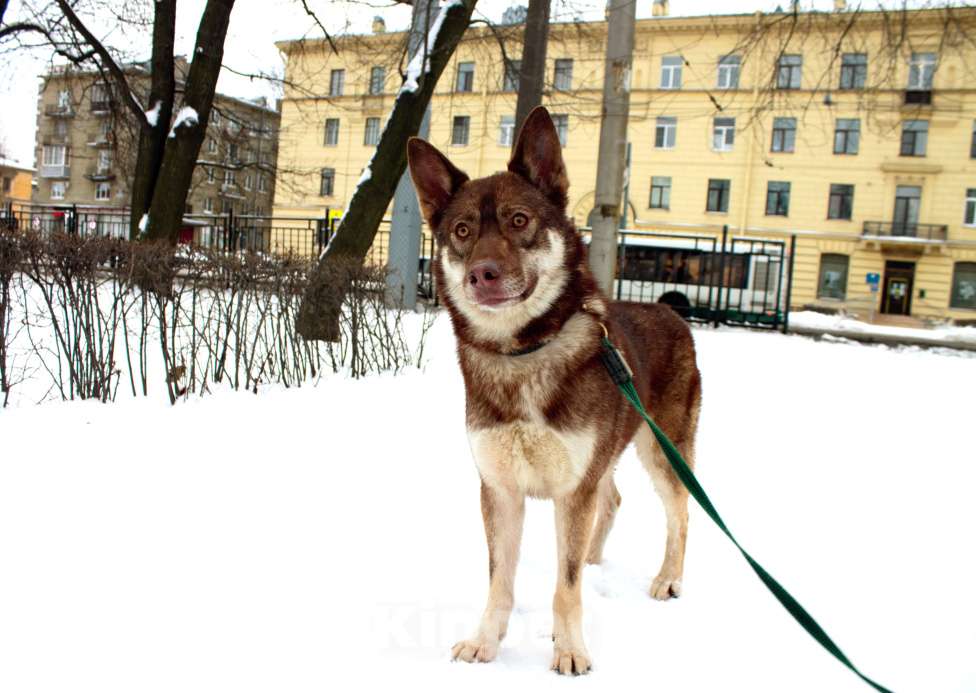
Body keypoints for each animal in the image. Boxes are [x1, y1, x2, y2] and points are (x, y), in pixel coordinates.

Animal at [404, 108, 700, 676]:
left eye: (520, 220)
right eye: (461, 230)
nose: (481, 275)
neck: (522, 354)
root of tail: (671, 310)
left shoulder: (572, 487)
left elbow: (566, 586)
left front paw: (570, 651)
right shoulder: (500, 490)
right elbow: (500, 578)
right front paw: (485, 643)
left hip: (663, 451)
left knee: (679, 512)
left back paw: (669, 578)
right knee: (612, 501)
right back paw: (594, 557)